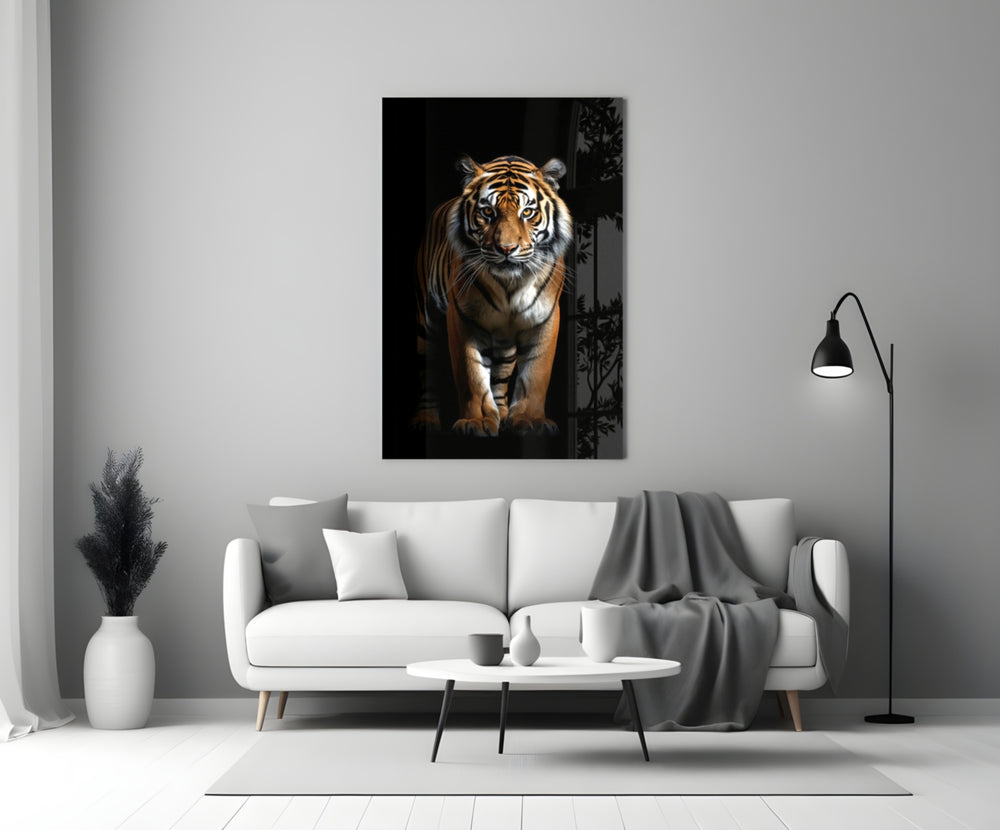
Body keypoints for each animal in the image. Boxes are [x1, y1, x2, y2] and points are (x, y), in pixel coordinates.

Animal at [413, 155, 573, 437]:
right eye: (487, 212)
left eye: (527, 212)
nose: (506, 249)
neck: (511, 284)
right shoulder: (462, 317)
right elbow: (471, 375)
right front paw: (475, 422)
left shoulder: (545, 317)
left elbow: (536, 372)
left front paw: (530, 420)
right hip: (426, 321)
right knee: (427, 371)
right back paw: (427, 420)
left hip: (504, 341)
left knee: (500, 375)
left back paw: (503, 415)